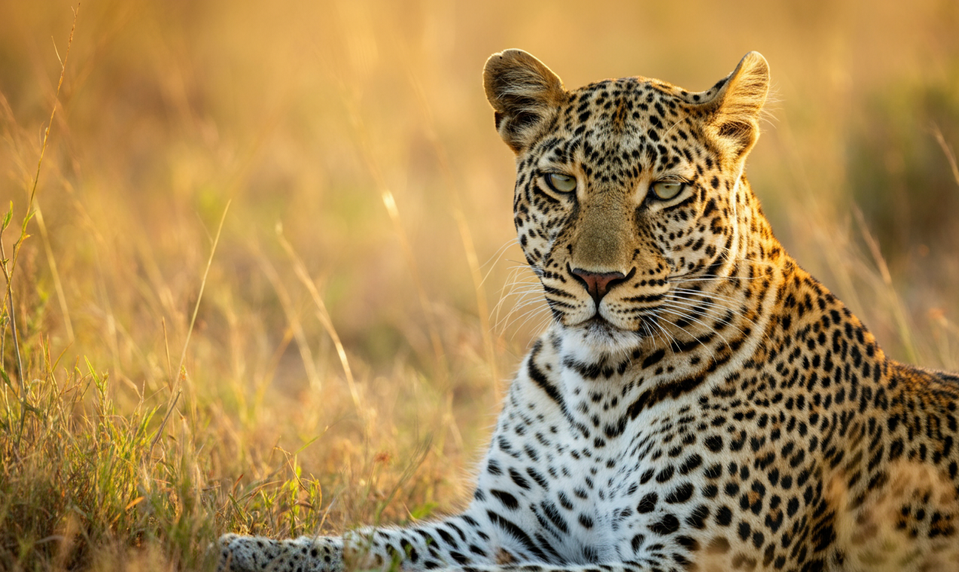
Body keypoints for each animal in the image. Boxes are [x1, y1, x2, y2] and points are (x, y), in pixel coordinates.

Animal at [219, 49, 959, 572]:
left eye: (663, 190)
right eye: (560, 181)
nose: (597, 279)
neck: (600, 385)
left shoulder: (690, 560)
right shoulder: (502, 526)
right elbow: (374, 543)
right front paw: (249, 547)